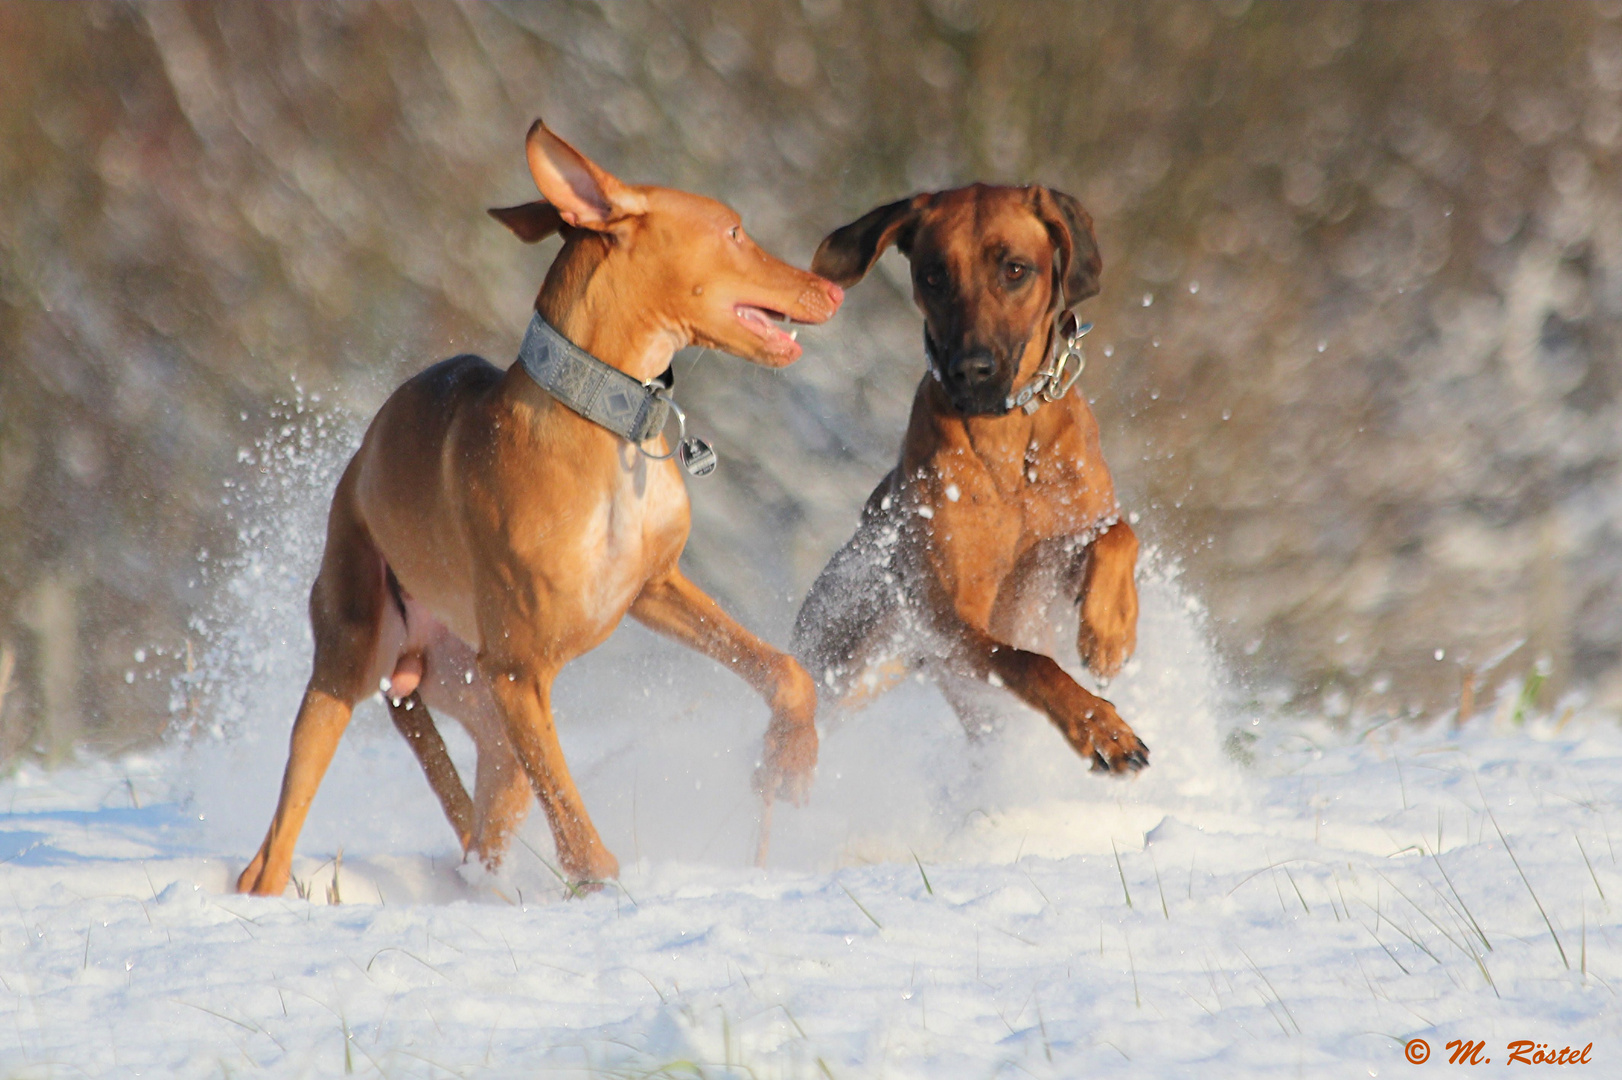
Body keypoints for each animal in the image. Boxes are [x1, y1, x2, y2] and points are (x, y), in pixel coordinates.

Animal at [240, 117, 849, 895]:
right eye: (736, 230)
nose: (832, 288)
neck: (610, 424)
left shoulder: (655, 588)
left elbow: (784, 670)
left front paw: (792, 757)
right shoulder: (522, 673)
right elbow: (578, 829)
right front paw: (607, 887)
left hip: (489, 720)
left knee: (482, 836)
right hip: (350, 666)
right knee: (276, 842)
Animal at [791, 187, 1148, 775]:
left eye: (1015, 269)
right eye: (934, 275)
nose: (971, 369)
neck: (1009, 433)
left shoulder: (1062, 546)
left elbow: (1118, 534)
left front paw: (1111, 630)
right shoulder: (951, 624)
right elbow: (1030, 662)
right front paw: (1101, 728)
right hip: (838, 669)